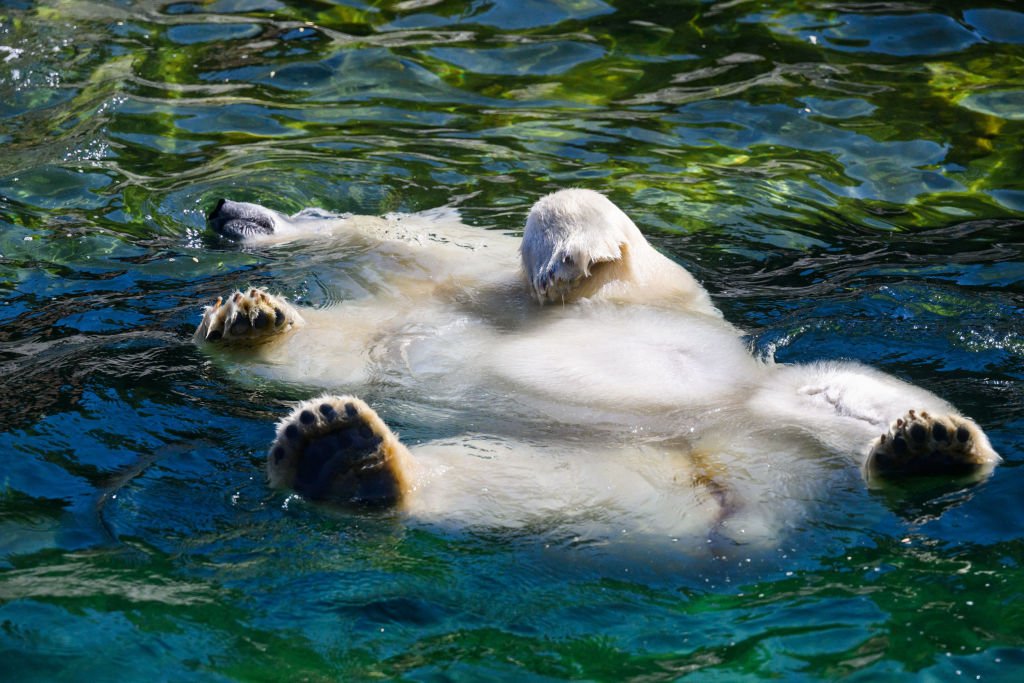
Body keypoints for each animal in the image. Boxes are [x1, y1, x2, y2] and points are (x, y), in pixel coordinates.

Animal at [195, 189, 1003, 548]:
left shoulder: (646, 292)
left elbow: (593, 229)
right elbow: (320, 353)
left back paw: (931, 442)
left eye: (303, 207)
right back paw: (342, 456)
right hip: (639, 485)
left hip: (783, 402)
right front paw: (248, 318)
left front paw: (563, 250)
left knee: (852, 390)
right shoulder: (386, 337)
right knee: (537, 486)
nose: (222, 210)